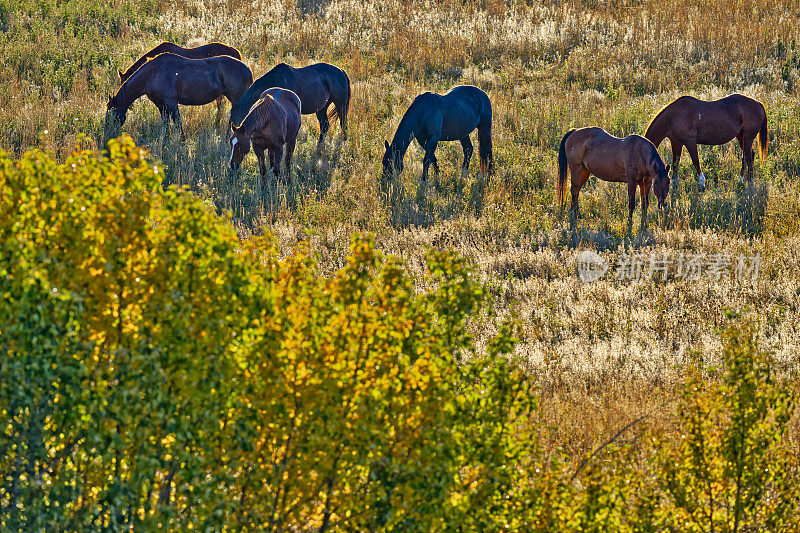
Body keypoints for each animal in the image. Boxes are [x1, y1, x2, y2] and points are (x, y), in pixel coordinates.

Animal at [104, 52, 252, 137]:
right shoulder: (160, 104)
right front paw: (166, 139)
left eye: (111, 113)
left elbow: (177, 122)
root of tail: (248, 69)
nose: (107, 132)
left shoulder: (171, 102)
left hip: (237, 99)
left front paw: (182, 141)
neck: (152, 74)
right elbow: (165, 123)